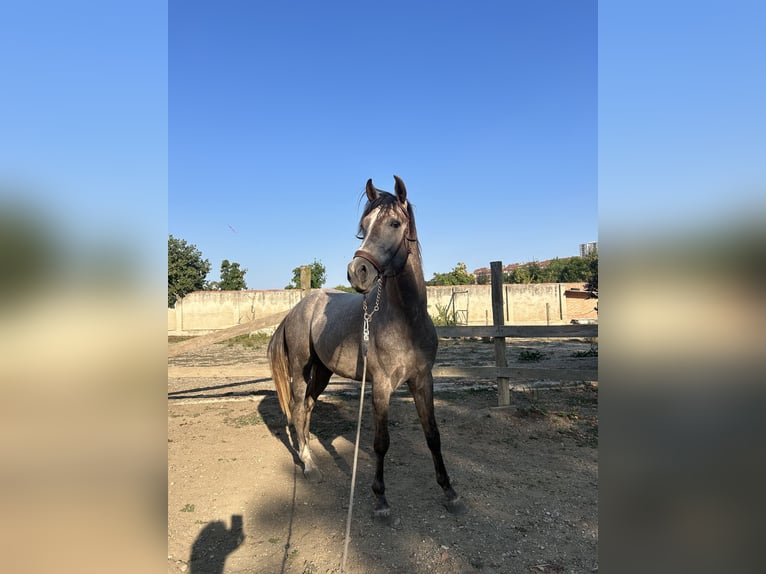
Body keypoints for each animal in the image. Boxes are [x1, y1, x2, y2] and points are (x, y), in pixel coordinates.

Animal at [268, 175, 461, 517]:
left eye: (395, 223)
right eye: (364, 227)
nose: (357, 271)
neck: (405, 320)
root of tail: (296, 309)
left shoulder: (423, 379)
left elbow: (433, 435)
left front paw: (448, 491)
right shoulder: (381, 386)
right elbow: (381, 441)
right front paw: (381, 499)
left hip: (323, 371)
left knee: (308, 407)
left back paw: (308, 453)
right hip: (301, 370)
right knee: (297, 407)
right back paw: (308, 464)